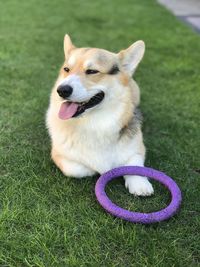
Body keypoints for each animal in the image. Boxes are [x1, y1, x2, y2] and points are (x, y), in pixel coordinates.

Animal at [46, 34, 154, 196]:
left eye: (92, 71)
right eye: (66, 69)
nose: (62, 90)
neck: (94, 122)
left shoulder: (137, 149)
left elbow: (135, 165)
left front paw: (140, 184)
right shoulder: (59, 155)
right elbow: (80, 169)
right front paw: (100, 169)